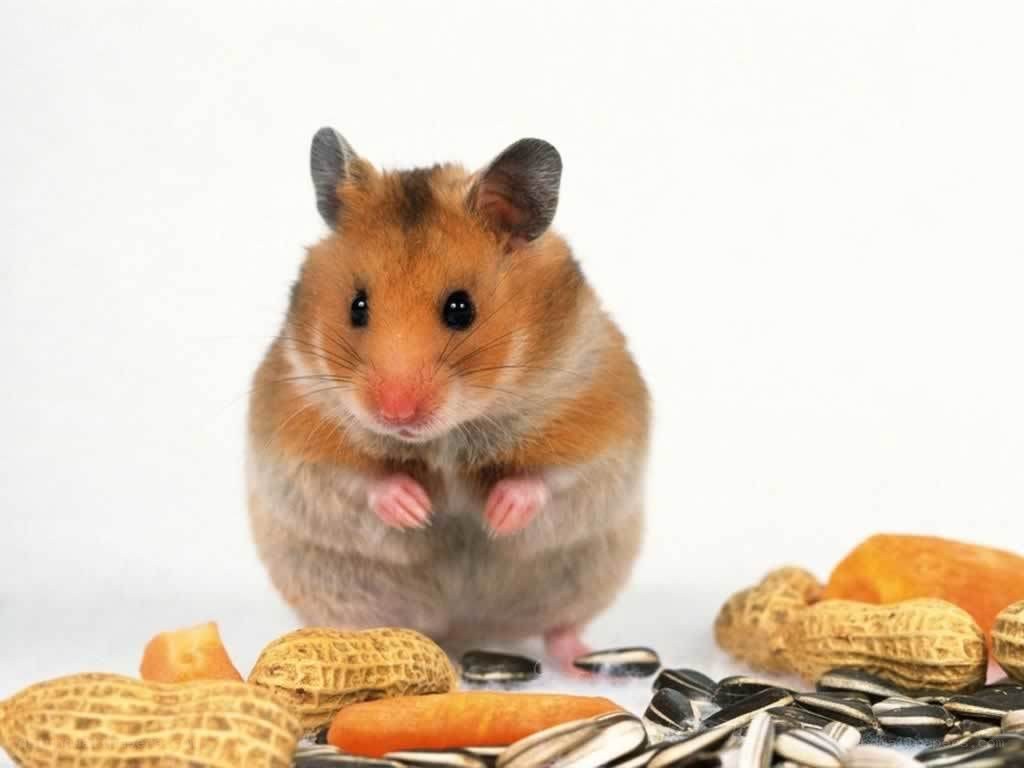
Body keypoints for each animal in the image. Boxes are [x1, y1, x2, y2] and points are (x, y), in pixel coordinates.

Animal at [247, 128, 650, 669]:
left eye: (461, 308)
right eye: (357, 306)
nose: (395, 414)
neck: (449, 435)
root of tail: (463, 632)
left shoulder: (600, 425)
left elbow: (550, 478)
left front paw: (497, 517)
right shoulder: (298, 436)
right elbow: (356, 478)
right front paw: (416, 510)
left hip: (582, 579)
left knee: (560, 628)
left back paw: (585, 665)